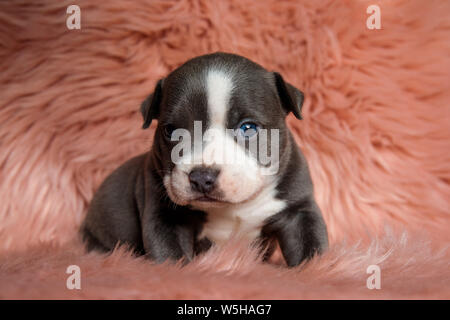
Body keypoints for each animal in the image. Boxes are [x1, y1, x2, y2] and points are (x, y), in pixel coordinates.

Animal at [81, 53, 326, 268]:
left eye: (248, 127)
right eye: (171, 131)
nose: (201, 177)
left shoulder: (299, 212)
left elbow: (311, 250)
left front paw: (319, 270)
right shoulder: (165, 218)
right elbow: (170, 256)